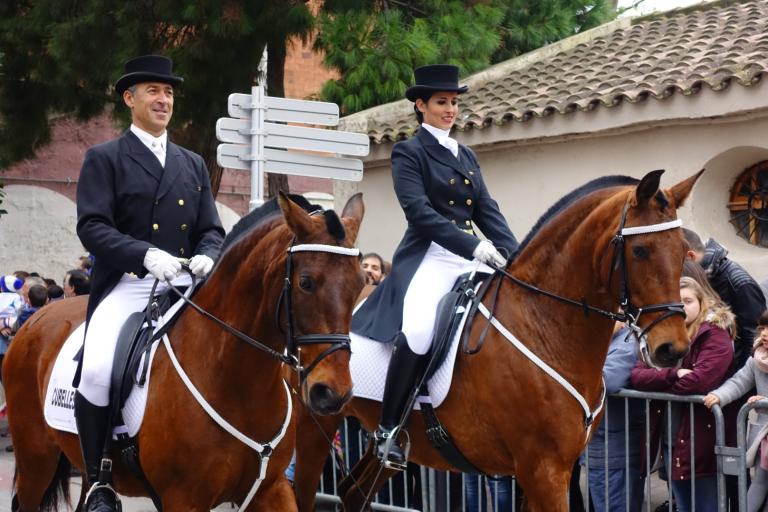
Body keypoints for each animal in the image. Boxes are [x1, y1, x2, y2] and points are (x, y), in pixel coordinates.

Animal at [3, 192, 366, 512]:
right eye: (306, 282)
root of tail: (36, 319)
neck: (237, 381)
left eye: (361, 283)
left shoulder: (272, 489)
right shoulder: (184, 499)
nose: (332, 393)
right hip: (36, 458)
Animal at [292, 170, 703, 512]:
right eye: (640, 250)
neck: (543, 323)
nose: (672, 349)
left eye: (683, 250)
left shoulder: (556, 469)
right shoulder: (543, 470)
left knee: (352, 491)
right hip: (311, 428)